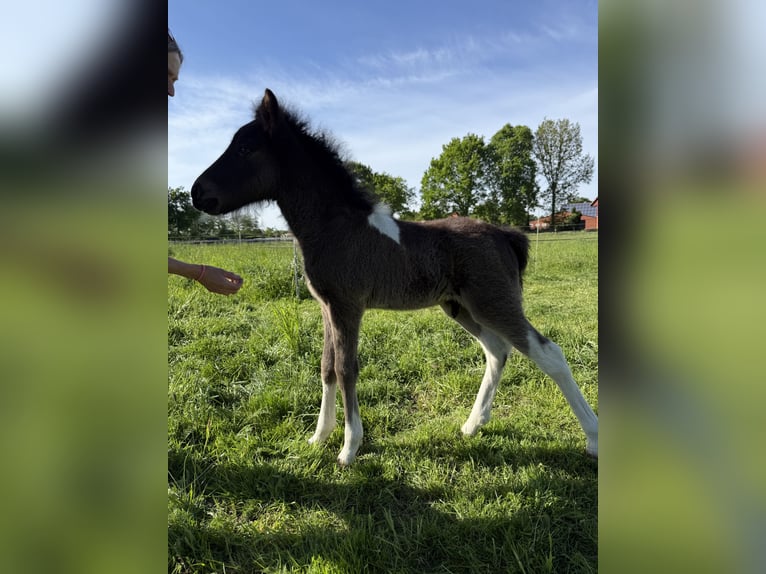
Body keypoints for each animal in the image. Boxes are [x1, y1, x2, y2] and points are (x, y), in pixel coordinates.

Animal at [192, 89, 598, 466]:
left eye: (246, 148)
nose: (197, 193)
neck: (335, 227)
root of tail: (504, 234)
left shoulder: (347, 307)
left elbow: (346, 369)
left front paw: (348, 448)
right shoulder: (327, 307)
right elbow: (326, 368)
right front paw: (318, 437)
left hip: (493, 302)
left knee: (548, 352)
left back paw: (593, 438)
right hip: (460, 307)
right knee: (497, 351)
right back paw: (471, 425)